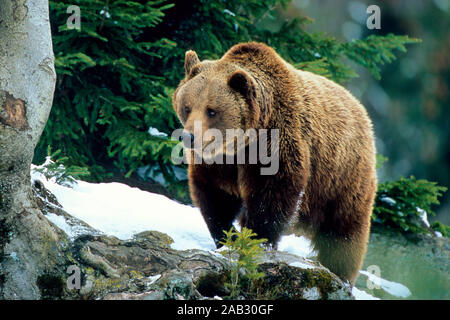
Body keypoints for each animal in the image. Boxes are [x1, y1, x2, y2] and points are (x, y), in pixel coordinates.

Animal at [172, 42, 376, 284]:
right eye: (187, 106)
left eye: (212, 110)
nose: (189, 137)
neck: (242, 143)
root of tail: (361, 110)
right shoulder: (219, 162)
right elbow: (215, 195)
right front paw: (226, 237)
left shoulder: (277, 143)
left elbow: (272, 195)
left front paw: (256, 240)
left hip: (341, 178)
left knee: (344, 231)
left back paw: (340, 273)